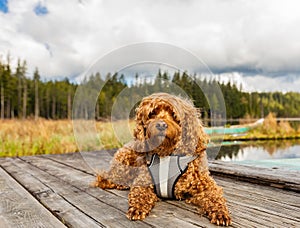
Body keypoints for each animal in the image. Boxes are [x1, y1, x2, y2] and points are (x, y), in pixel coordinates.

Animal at [94, 92, 232, 226]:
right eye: (152, 113)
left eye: (173, 114)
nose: (161, 124)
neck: (166, 154)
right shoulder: (143, 181)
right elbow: (139, 193)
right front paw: (137, 208)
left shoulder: (206, 185)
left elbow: (215, 197)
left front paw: (220, 213)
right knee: (104, 178)